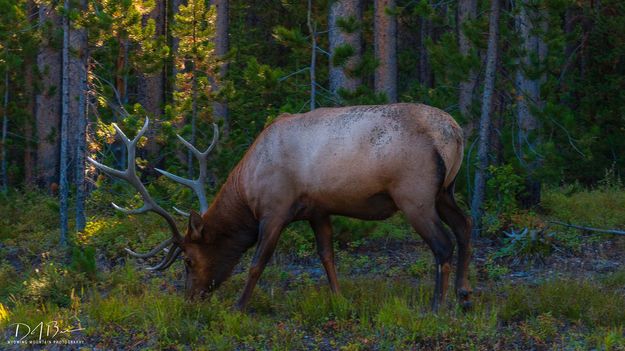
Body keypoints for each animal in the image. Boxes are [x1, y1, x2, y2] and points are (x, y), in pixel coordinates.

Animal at [89, 104, 472, 310]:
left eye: (188, 260)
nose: (191, 299)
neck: (247, 186)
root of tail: (454, 131)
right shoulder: (318, 210)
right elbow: (327, 256)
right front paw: (338, 298)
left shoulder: (275, 209)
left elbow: (257, 262)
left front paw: (238, 306)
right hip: (446, 190)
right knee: (465, 227)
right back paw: (464, 296)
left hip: (414, 194)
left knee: (443, 244)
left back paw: (437, 305)